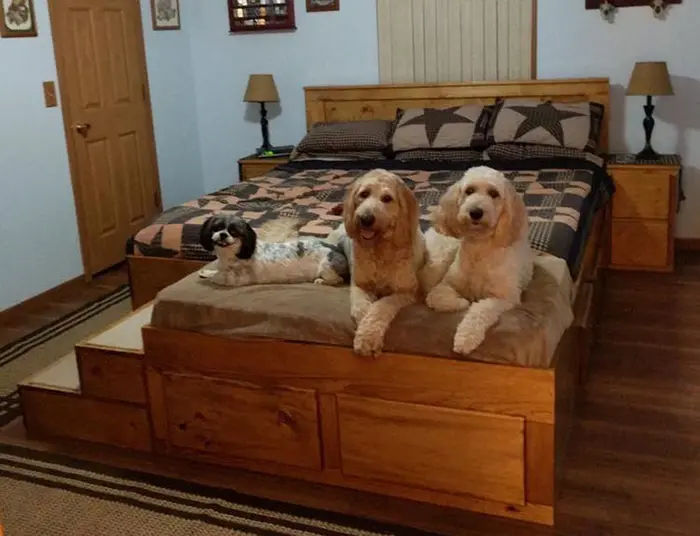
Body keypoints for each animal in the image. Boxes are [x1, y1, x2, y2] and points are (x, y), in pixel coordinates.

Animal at [336, 170, 424, 358]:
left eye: (387, 198)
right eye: (363, 194)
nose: (365, 218)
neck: (379, 250)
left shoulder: (405, 292)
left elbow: (380, 307)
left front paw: (368, 336)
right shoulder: (359, 285)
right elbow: (362, 307)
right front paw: (364, 330)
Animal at [424, 163, 532, 356]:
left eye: (494, 193)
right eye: (469, 190)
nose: (475, 212)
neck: (479, 248)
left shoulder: (504, 298)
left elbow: (480, 310)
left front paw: (466, 338)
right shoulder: (446, 284)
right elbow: (437, 297)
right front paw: (460, 302)